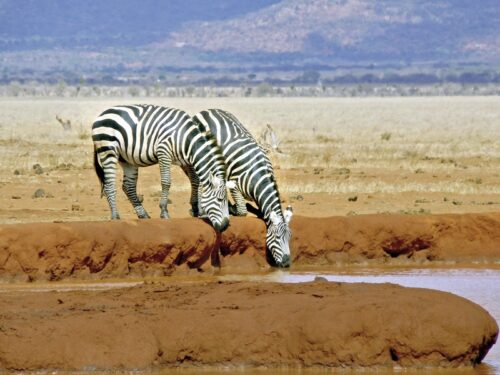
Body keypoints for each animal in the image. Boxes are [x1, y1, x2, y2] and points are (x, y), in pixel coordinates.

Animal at [92, 104, 234, 234]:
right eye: (220, 200)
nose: (225, 226)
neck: (185, 139)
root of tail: (102, 114)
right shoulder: (163, 152)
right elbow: (166, 182)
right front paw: (164, 211)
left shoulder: (188, 160)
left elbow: (196, 182)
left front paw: (197, 209)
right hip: (108, 150)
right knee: (109, 186)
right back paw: (115, 216)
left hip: (126, 159)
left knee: (128, 186)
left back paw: (143, 214)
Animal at [192, 108, 292, 268]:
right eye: (277, 237)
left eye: (289, 237)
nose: (287, 264)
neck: (258, 178)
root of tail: (208, 110)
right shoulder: (235, 184)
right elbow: (242, 210)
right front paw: (233, 208)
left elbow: (259, 210)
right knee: (200, 182)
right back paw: (198, 209)